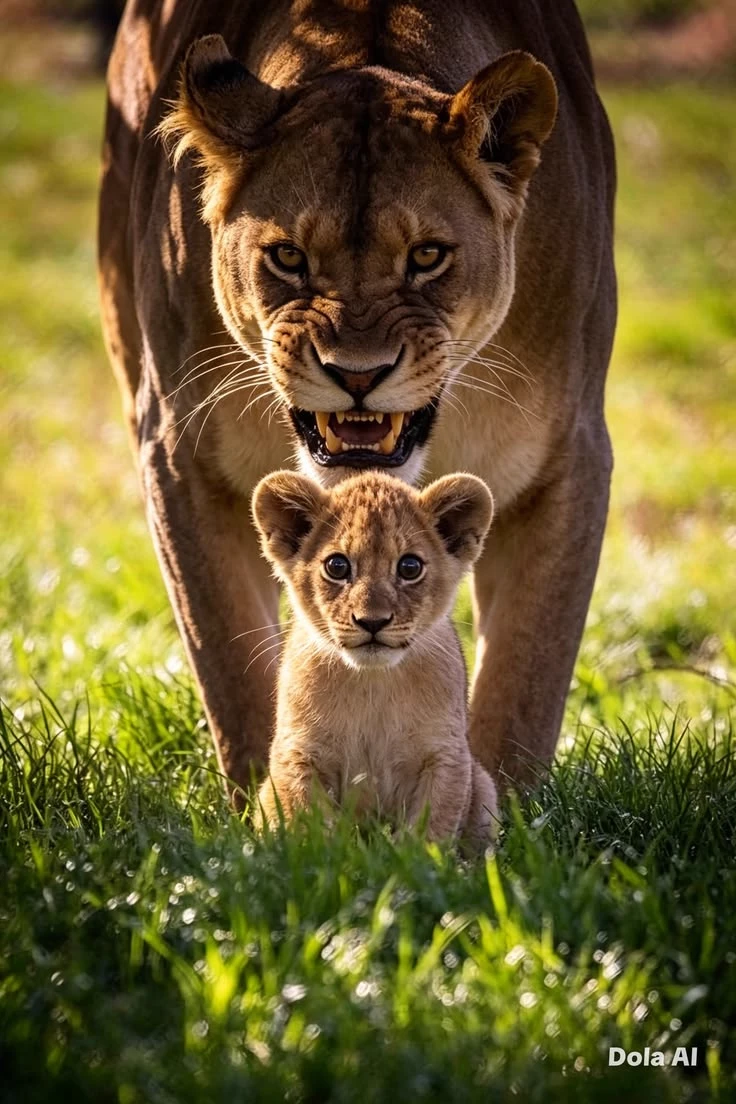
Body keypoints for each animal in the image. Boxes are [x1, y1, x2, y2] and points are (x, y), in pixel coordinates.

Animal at [99, 1, 615, 798]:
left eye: (428, 256)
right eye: (288, 257)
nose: (358, 373)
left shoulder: (569, 458)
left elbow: (525, 686)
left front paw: (501, 819)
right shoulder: (180, 456)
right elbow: (237, 671)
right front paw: (268, 814)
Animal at [251, 468, 498, 844]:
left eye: (410, 567)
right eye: (337, 566)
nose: (372, 621)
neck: (373, 683)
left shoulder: (445, 756)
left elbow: (430, 828)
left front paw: (416, 856)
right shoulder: (298, 752)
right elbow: (308, 826)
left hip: (484, 786)